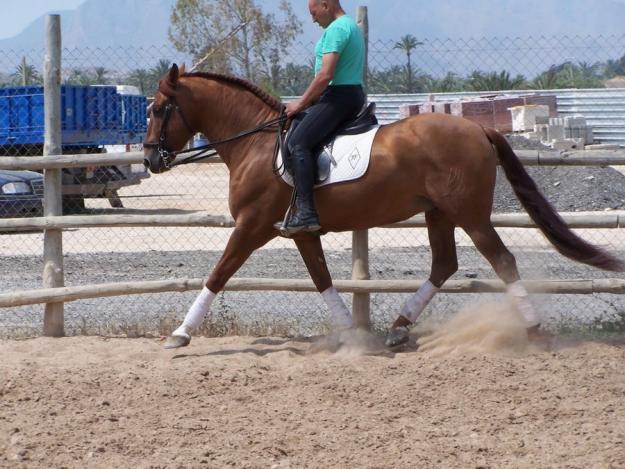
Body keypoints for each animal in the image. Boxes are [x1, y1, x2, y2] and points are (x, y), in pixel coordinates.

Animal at [145, 64, 620, 348]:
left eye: (161, 108)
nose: (150, 159)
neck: (256, 143)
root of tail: (478, 129)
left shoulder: (251, 225)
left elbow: (218, 273)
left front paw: (180, 333)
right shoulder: (301, 232)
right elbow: (321, 279)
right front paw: (352, 334)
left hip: (469, 214)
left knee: (502, 260)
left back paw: (533, 330)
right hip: (438, 213)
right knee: (444, 264)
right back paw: (397, 328)